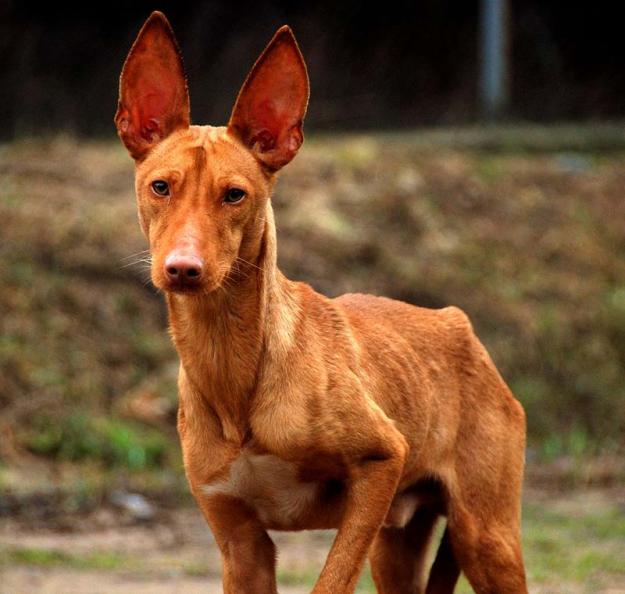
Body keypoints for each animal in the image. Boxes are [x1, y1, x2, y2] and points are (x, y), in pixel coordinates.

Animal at [113, 11, 528, 588]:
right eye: (160, 186)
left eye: (234, 195)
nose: (183, 269)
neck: (234, 365)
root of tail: (459, 324)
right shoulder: (240, 546)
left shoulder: (381, 462)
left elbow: (331, 579)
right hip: (396, 547)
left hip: (486, 539)